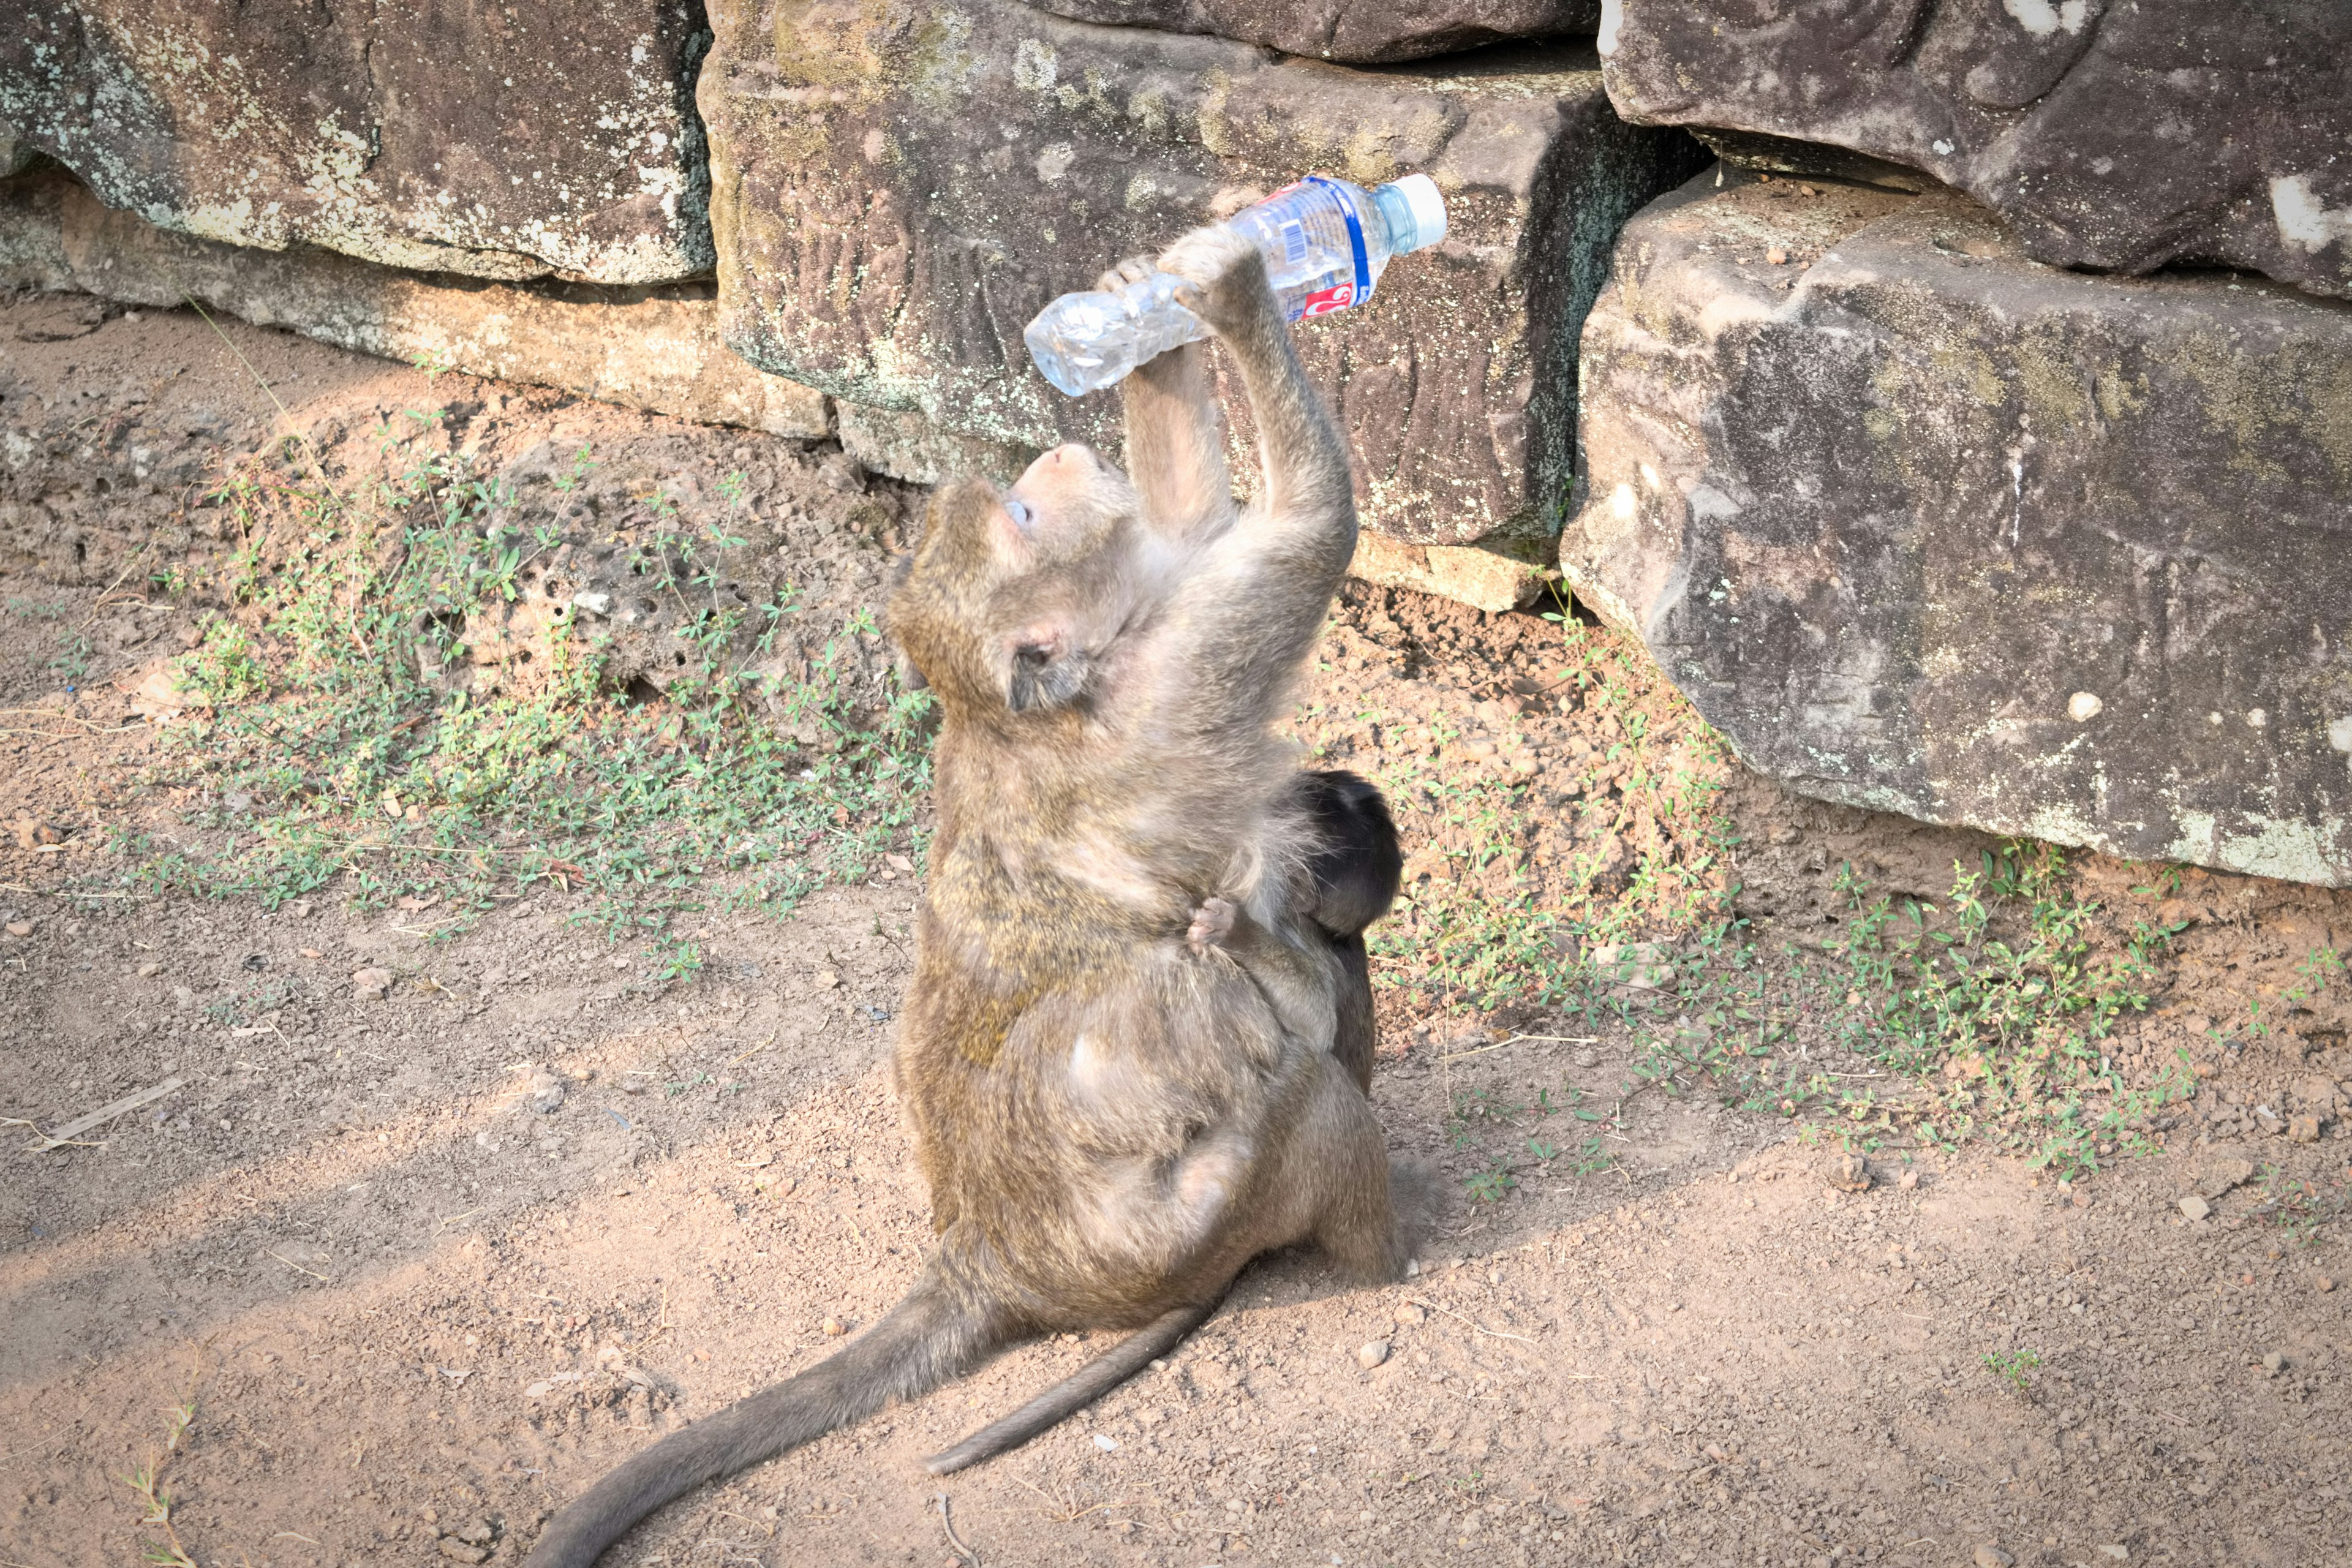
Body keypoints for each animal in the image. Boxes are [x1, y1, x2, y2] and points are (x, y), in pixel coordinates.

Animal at [522, 227, 1411, 1568]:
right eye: (1030, 515)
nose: (1051, 453)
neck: (1028, 713)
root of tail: (985, 1259)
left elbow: (1196, 518)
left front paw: (1152, 324)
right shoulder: (1173, 685)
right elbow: (1310, 532)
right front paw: (1232, 285)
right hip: (1194, 1221)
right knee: (1300, 1088)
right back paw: (1379, 1248)